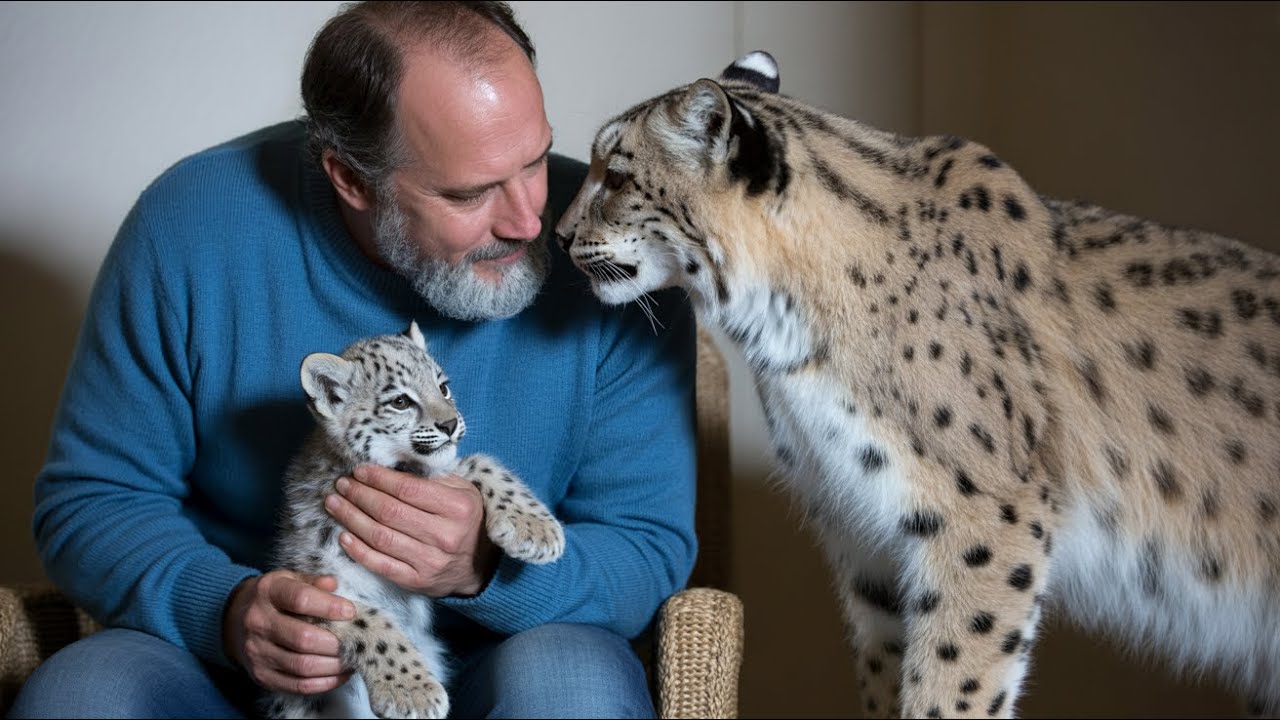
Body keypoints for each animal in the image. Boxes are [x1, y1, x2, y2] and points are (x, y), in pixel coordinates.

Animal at [263, 321, 565, 719]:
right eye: (401, 401)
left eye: (443, 387)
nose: (451, 423)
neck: (408, 469)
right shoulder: (316, 587)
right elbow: (370, 621)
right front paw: (413, 692)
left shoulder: (444, 474)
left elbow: (482, 462)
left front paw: (535, 530)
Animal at [554, 50, 1280, 719]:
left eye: (616, 175)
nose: (559, 236)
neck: (784, 329)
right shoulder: (862, 526)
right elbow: (889, 668)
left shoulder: (986, 517)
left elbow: (953, 679)